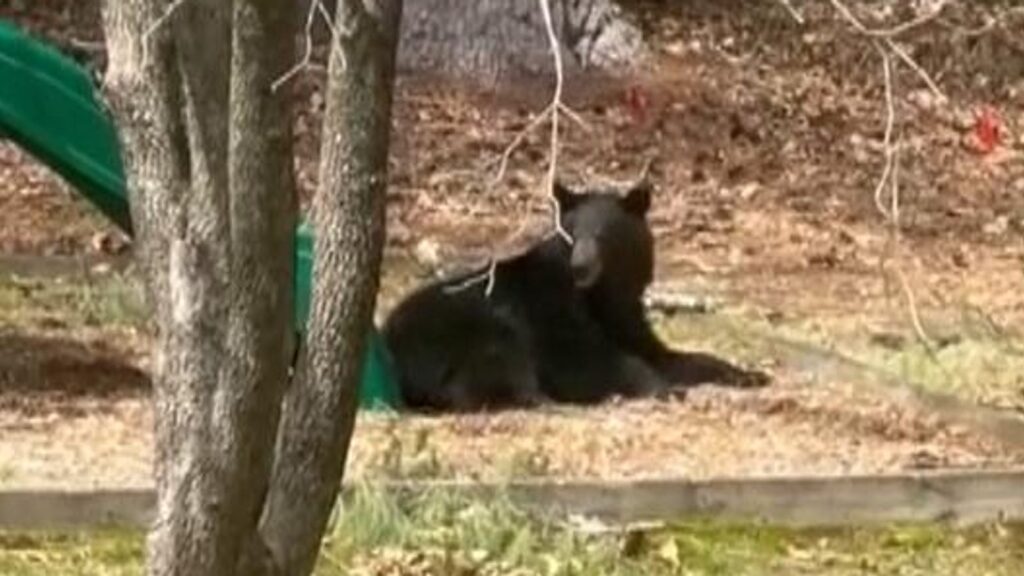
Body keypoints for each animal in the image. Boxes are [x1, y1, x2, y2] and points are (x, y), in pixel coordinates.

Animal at [382, 176, 764, 413]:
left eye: (603, 233)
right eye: (572, 233)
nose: (581, 266)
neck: (600, 295)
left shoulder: (627, 318)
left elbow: (670, 355)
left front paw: (749, 375)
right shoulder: (551, 308)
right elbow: (583, 360)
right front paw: (663, 387)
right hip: (470, 330)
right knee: (499, 366)